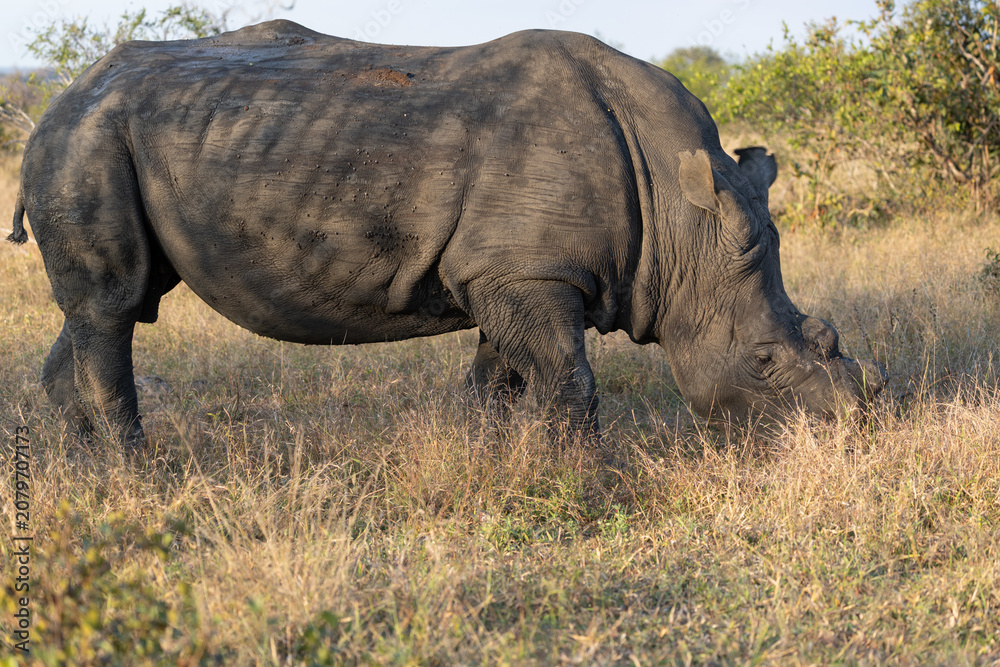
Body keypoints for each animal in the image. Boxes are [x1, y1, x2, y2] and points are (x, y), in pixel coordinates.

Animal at [8, 21, 886, 446]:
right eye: (764, 361)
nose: (851, 428)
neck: (681, 224)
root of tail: (62, 94)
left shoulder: (511, 269)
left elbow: (502, 381)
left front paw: (495, 457)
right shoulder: (527, 273)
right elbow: (570, 380)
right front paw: (580, 475)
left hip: (111, 135)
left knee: (109, 306)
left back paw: (91, 470)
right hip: (87, 138)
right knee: (114, 306)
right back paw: (137, 472)